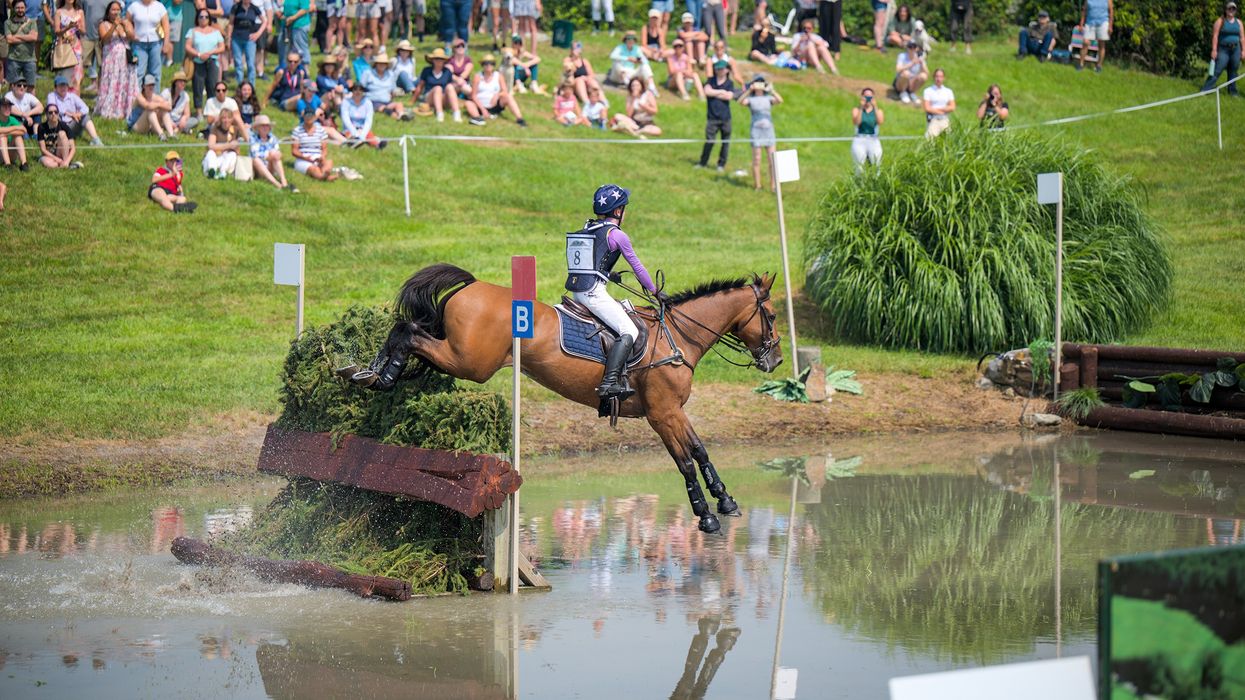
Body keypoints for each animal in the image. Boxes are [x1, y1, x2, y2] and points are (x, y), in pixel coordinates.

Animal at [353, 263, 783, 534]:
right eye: (774, 316)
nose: (776, 359)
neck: (677, 337)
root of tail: (472, 286)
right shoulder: (662, 414)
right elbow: (685, 463)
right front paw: (706, 517)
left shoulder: (675, 412)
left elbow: (700, 451)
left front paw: (726, 501)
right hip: (469, 362)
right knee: (409, 332)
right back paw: (382, 374)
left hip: (463, 357)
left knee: (410, 331)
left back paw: (373, 372)